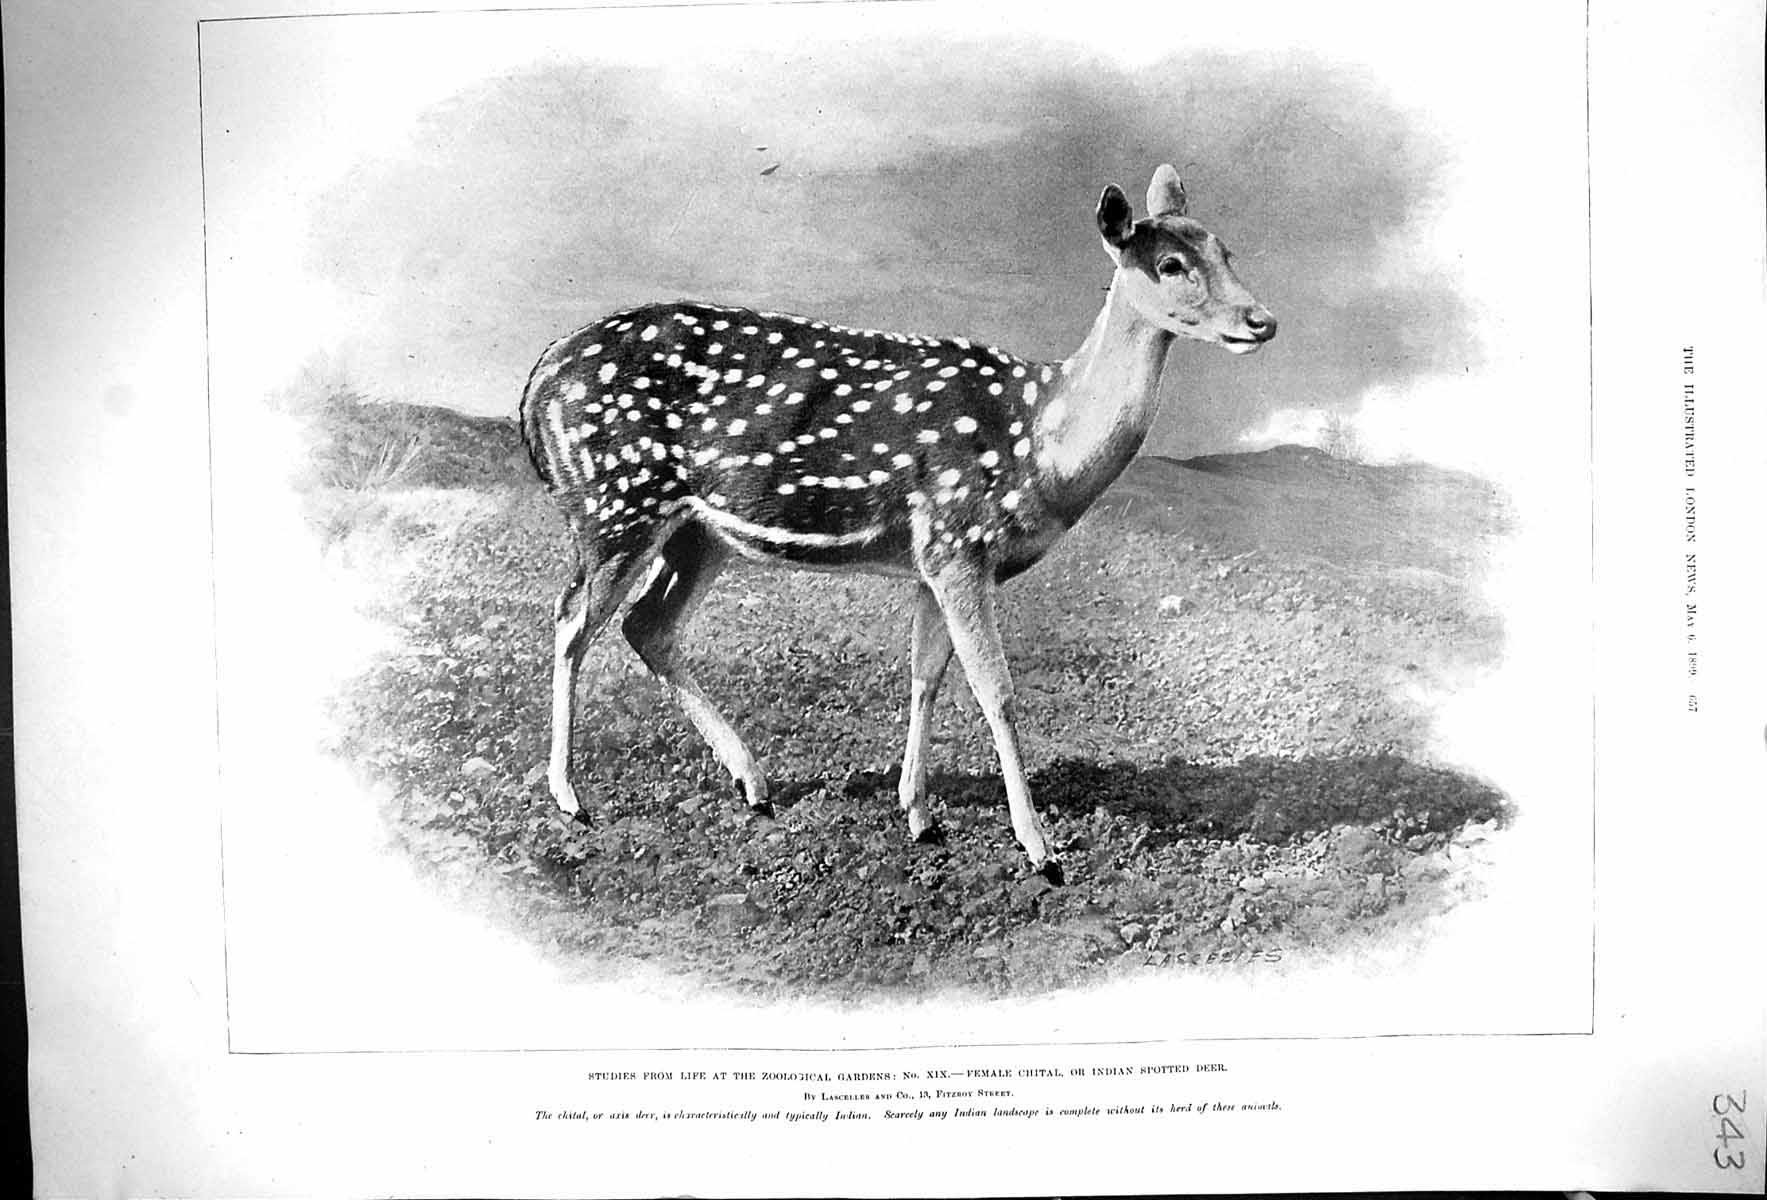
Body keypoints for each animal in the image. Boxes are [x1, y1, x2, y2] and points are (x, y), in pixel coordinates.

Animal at [518, 164, 1275, 881]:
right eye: (1169, 264)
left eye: (1225, 248)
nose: (1261, 320)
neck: (1041, 442)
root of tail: (538, 377)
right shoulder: (959, 539)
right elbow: (996, 690)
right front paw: (1040, 849)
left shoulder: (931, 561)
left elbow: (925, 675)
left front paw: (918, 816)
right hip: (614, 502)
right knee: (572, 619)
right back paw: (570, 797)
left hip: (699, 531)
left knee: (647, 624)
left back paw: (753, 783)